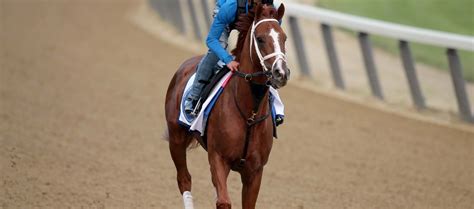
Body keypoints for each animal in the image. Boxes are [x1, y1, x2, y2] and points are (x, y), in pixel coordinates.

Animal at [163, 3, 288, 209]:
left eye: (284, 38)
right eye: (260, 39)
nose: (281, 73)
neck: (249, 114)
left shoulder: (255, 171)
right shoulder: (218, 158)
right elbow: (223, 202)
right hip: (176, 138)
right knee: (184, 179)